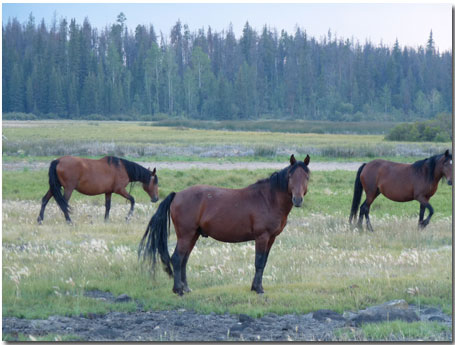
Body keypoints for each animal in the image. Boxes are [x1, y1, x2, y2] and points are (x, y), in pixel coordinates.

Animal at [138, 155, 310, 294]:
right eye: (290, 176)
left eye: (307, 177)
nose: (297, 199)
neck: (268, 199)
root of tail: (177, 195)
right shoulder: (262, 237)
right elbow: (259, 262)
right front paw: (258, 289)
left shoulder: (271, 238)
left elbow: (264, 262)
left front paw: (256, 287)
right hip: (186, 235)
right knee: (177, 258)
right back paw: (178, 290)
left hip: (193, 235)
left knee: (184, 259)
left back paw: (186, 288)